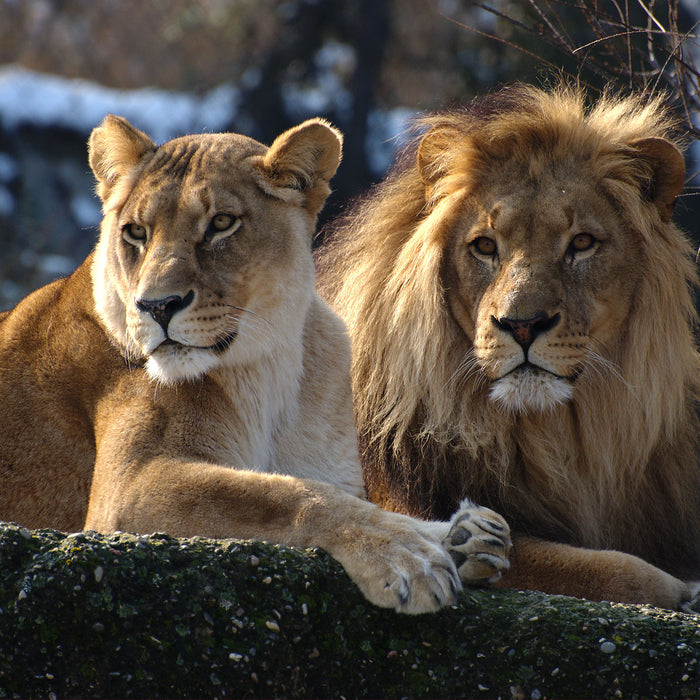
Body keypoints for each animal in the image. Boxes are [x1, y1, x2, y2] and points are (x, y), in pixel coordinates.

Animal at [0, 115, 508, 612]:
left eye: (222, 223)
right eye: (136, 233)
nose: (157, 306)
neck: (269, 365)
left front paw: (463, 537)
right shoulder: (127, 489)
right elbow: (283, 494)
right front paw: (406, 552)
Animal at [318, 83, 700, 608]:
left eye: (582, 242)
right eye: (484, 246)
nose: (521, 325)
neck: (557, 435)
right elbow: (589, 565)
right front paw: (679, 589)